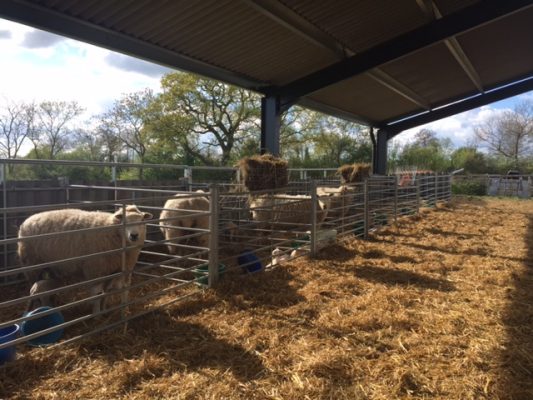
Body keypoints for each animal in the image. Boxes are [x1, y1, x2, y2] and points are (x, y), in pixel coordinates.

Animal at [18, 205, 152, 314]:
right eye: (125, 221)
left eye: (142, 220)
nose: (134, 235)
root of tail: (26, 221)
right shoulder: (95, 270)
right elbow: (96, 295)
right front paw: (97, 315)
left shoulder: (121, 270)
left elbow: (117, 291)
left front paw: (119, 309)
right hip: (31, 264)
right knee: (34, 287)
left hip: (49, 266)